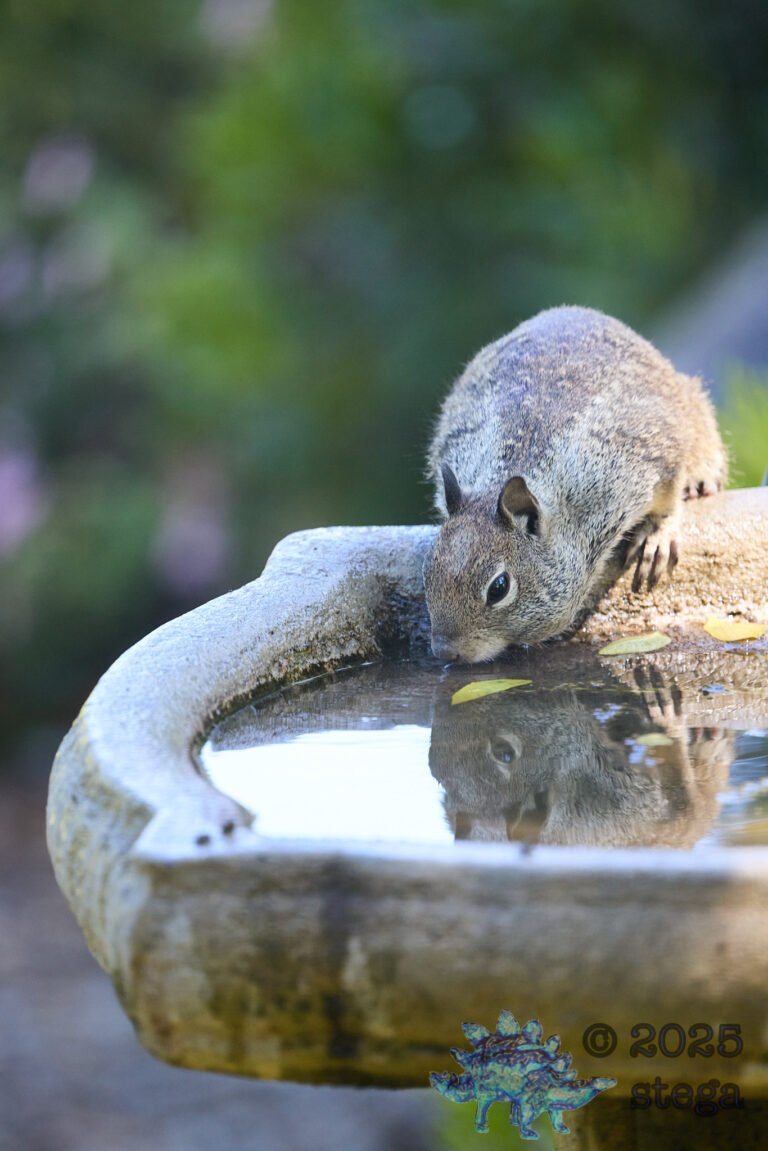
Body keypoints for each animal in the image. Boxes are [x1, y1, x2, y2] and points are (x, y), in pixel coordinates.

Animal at [424, 305, 726, 662]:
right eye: (427, 573)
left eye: (499, 587)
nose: (445, 651)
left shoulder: (656, 460)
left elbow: (669, 501)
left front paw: (658, 536)